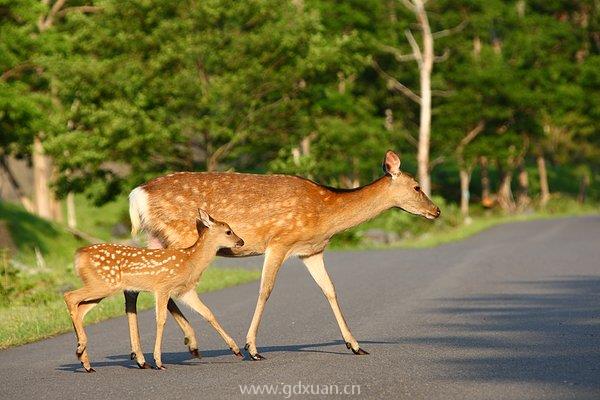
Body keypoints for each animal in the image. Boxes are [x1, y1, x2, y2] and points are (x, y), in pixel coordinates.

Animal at [63, 209, 244, 372]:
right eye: (228, 231)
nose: (241, 241)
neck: (190, 261)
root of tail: (78, 255)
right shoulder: (163, 287)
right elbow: (161, 320)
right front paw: (158, 361)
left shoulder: (185, 291)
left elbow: (208, 313)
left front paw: (236, 350)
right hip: (104, 284)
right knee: (69, 296)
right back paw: (81, 349)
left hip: (101, 287)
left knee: (80, 309)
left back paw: (85, 362)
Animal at [126, 150, 440, 362]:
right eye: (416, 186)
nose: (436, 210)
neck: (326, 215)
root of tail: (137, 195)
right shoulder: (279, 241)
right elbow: (265, 290)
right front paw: (252, 348)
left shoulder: (312, 251)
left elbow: (330, 289)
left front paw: (355, 345)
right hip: (181, 237)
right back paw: (192, 345)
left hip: (156, 238)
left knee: (139, 286)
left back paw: (149, 353)